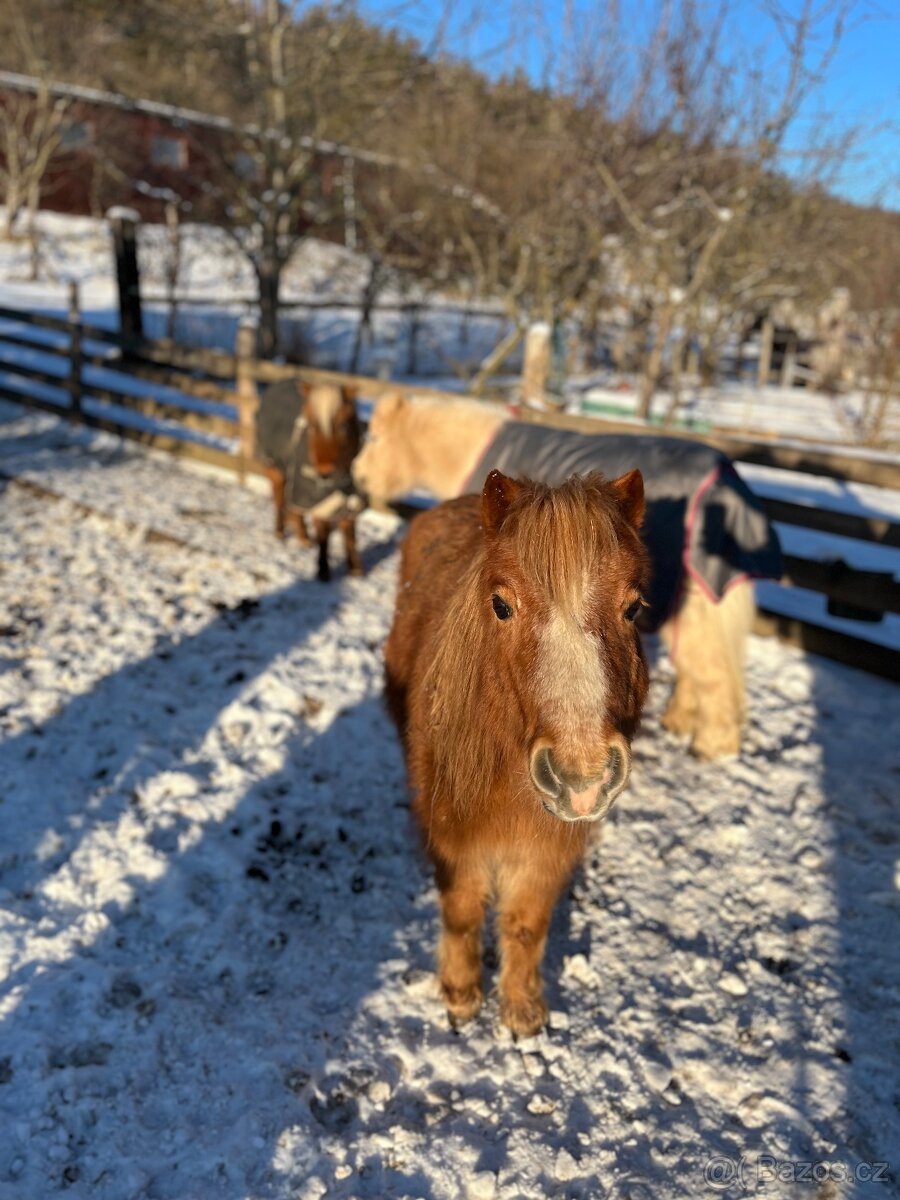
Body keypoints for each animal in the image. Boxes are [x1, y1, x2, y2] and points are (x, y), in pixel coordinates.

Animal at [255, 379, 364, 582]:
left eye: (344, 425)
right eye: (312, 425)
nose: (324, 473)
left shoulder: (351, 497)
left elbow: (349, 531)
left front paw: (355, 569)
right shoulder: (317, 499)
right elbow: (324, 532)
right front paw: (323, 570)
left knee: (292, 507)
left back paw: (303, 537)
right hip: (276, 469)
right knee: (280, 500)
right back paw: (281, 532)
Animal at [385, 468, 649, 1036]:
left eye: (634, 607)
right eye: (501, 605)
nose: (581, 777)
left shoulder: (547, 850)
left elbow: (526, 925)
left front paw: (522, 1009)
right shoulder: (455, 839)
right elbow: (462, 911)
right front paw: (461, 994)